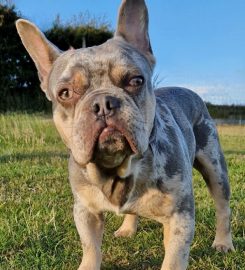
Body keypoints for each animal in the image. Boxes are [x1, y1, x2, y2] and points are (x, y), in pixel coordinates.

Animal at [16, 1, 234, 268]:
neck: (116, 168)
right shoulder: (85, 212)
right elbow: (90, 248)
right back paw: (127, 229)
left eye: (136, 80)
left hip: (215, 166)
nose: (103, 103)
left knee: (222, 205)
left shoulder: (179, 218)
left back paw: (223, 242)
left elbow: (173, 260)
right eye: (65, 93)